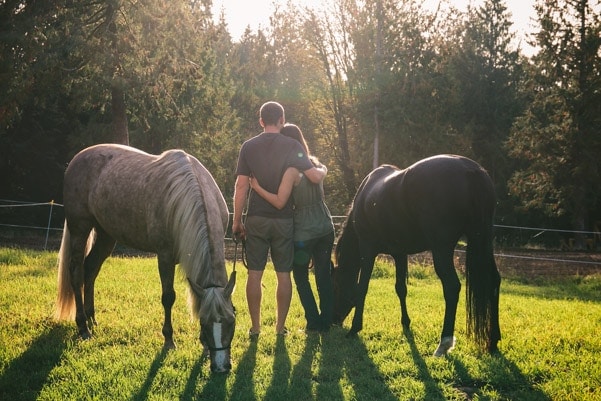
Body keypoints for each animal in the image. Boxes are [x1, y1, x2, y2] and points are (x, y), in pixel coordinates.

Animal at [55, 144, 236, 372]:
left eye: (231, 320)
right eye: (204, 322)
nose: (221, 368)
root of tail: (77, 159)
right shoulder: (165, 257)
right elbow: (168, 297)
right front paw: (169, 341)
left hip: (106, 236)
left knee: (91, 270)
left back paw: (92, 320)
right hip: (80, 229)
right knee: (77, 273)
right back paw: (82, 327)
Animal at [336, 153, 500, 354]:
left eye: (335, 285)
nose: (334, 321)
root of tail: (471, 170)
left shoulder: (367, 250)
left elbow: (362, 287)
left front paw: (354, 328)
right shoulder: (399, 254)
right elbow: (401, 288)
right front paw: (406, 323)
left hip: (442, 249)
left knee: (452, 287)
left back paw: (444, 343)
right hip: (482, 240)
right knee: (493, 281)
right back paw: (493, 341)